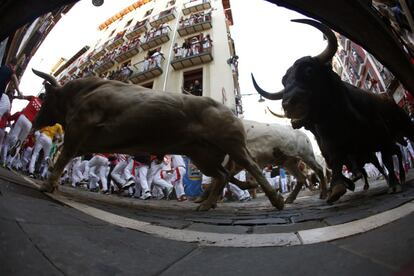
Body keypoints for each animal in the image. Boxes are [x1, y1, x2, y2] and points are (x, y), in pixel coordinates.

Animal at [31, 69, 284, 211]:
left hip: (233, 144)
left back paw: (276, 200)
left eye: (45, 98)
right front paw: (52, 183)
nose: (35, 122)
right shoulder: (82, 142)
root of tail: (228, 109)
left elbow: (62, 157)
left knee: (251, 166)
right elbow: (62, 158)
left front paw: (47, 185)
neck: (81, 94)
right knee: (221, 176)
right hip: (203, 156)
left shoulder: (78, 130)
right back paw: (207, 203)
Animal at [251, 19, 414, 204]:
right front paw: (337, 188)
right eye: (284, 82)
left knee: (396, 153)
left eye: (309, 70)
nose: (287, 104)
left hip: (404, 127)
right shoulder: (333, 148)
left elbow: (386, 161)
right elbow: (337, 165)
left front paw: (393, 184)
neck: (343, 119)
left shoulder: (382, 136)